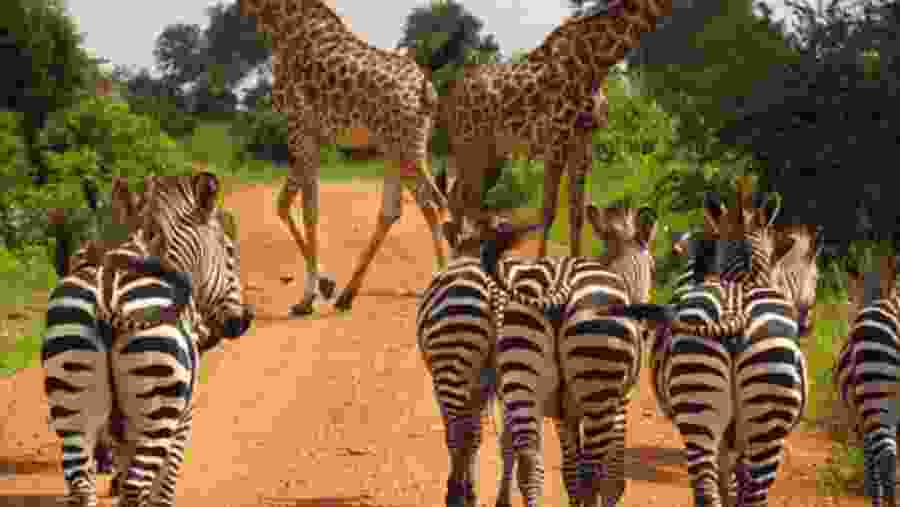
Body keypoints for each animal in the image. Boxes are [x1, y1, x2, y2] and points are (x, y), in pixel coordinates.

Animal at [42, 172, 254, 507]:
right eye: (230, 253)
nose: (244, 320)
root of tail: (107, 299)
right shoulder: (183, 417)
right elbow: (164, 485)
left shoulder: (126, 427)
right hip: (158, 406)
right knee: (135, 487)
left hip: (72, 404)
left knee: (82, 487)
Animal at [238, 0, 449, 315]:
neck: (281, 27)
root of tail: (427, 92)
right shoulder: (311, 138)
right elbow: (284, 204)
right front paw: (325, 285)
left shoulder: (300, 131)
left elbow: (307, 210)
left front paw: (307, 298)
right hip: (396, 147)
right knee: (396, 209)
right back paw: (347, 295)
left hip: (406, 146)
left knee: (432, 203)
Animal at [435, 0, 672, 259]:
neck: (596, 63)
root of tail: (449, 98)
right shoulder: (556, 140)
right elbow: (548, 212)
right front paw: (541, 261)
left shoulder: (583, 141)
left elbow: (576, 213)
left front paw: (576, 261)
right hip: (470, 145)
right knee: (465, 199)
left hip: (489, 152)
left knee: (459, 197)